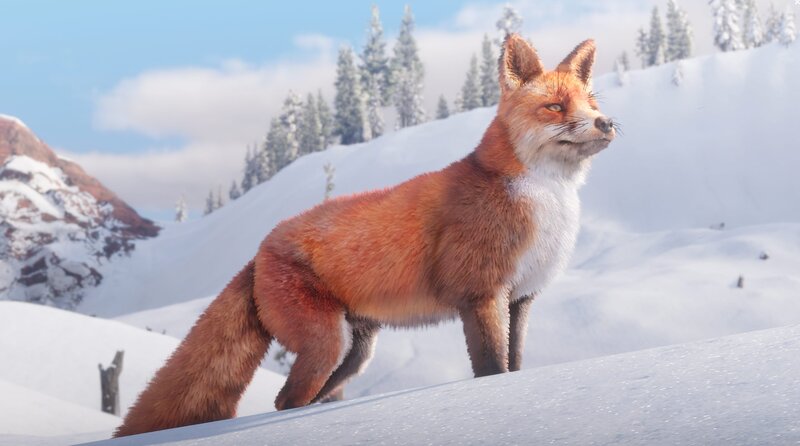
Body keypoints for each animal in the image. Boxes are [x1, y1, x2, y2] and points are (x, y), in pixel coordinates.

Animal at [114, 34, 616, 437]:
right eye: (556, 107)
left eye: (592, 103)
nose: (606, 122)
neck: (543, 202)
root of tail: (259, 251)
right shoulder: (481, 294)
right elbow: (492, 369)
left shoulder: (521, 299)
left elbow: (515, 366)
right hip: (326, 344)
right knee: (284, 401)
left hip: (354, 353)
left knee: (298, 399)